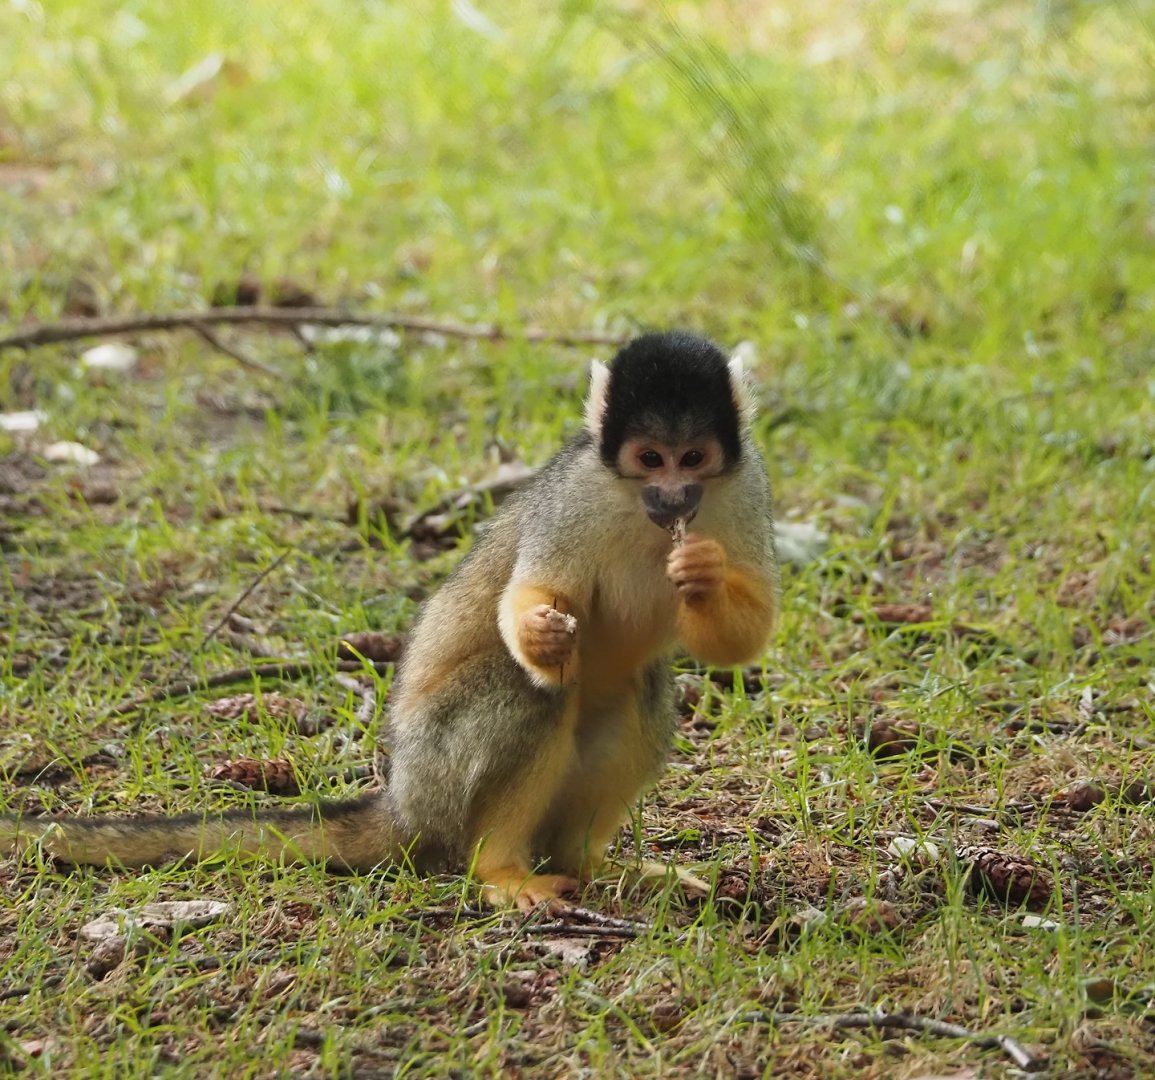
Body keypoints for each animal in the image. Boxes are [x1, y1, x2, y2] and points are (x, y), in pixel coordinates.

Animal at [0, 331, 778, 913]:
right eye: (649, 459)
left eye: (691, 459)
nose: (672, 495)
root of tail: (401, 798)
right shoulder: (579, 493)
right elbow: (532, 594)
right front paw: (538, 631)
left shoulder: (744, 487)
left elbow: (743, 636)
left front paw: (703, 574)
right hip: (437, 771)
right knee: (530, 691)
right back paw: (499, 868)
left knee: (643, 691)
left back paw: (586, 864)